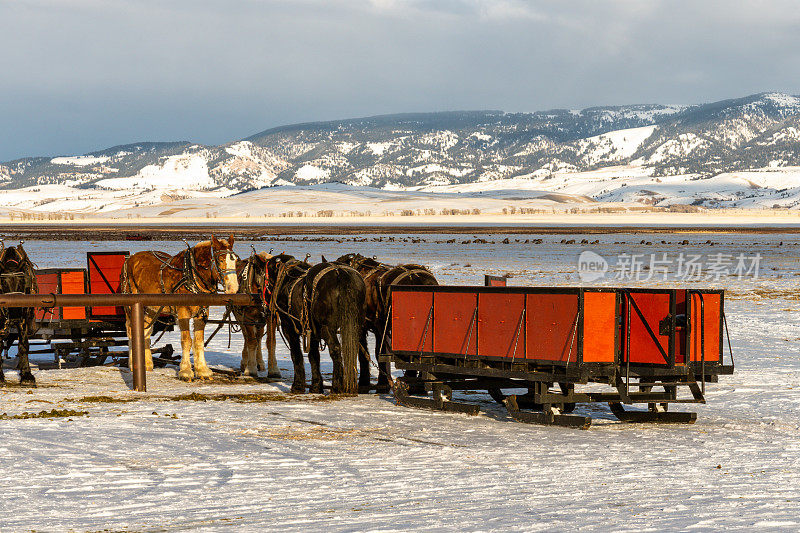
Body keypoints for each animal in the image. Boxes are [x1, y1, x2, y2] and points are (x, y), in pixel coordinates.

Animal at [0, 242, 38, 386]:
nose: (15, 314)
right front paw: (0, 377)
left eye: (23, 282)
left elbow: (23, 345)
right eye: (3, 283)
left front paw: (27, 375)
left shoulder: (23, 319)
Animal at [119, 235, 238, 380]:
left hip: (151, 308)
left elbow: (198, 341)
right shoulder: (183, 312)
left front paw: (202, 370)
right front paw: (186, 371)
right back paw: (133, 363)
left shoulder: (202, 313)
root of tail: (129, 260)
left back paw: (146, 364)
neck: (191, 275)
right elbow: (187, 341)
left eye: (236, 260)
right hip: (130, 305)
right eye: (220, 260)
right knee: (131, 331)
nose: (233, 288)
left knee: (145, 330)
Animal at [230, 250, 280, 378]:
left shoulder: (270, 317)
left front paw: (274, 370)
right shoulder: (248, 318)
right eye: (270, 276)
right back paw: (245, 362)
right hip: (240, 316)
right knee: (247, 337)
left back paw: (260, 362)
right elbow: (251, 342)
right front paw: (250, 369)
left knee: (259, 337)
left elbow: (271, 342)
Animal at [268, 254, 368, 394]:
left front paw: (298, 385)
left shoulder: (289, 328)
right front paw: (316, 386)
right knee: (353, 349)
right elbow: (314, 356)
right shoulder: (312, 330)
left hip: (327, 328)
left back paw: (337, 386)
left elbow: (296, 354)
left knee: (335, 349)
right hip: (355, 325)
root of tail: (341, 272)